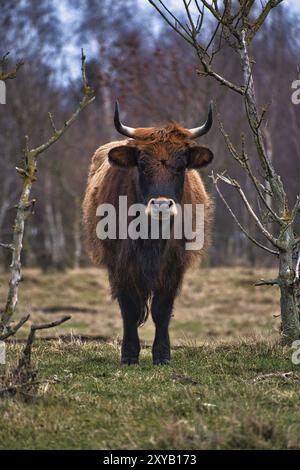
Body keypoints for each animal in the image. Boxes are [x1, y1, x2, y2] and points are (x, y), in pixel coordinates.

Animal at [82, 103, 213, 366]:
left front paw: (162, 354)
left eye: (181, 165)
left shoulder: (174, 265)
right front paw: (129, 354)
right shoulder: (120, 265)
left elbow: (162, 310)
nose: (162, 205)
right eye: (142, 164)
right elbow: (129, 309)